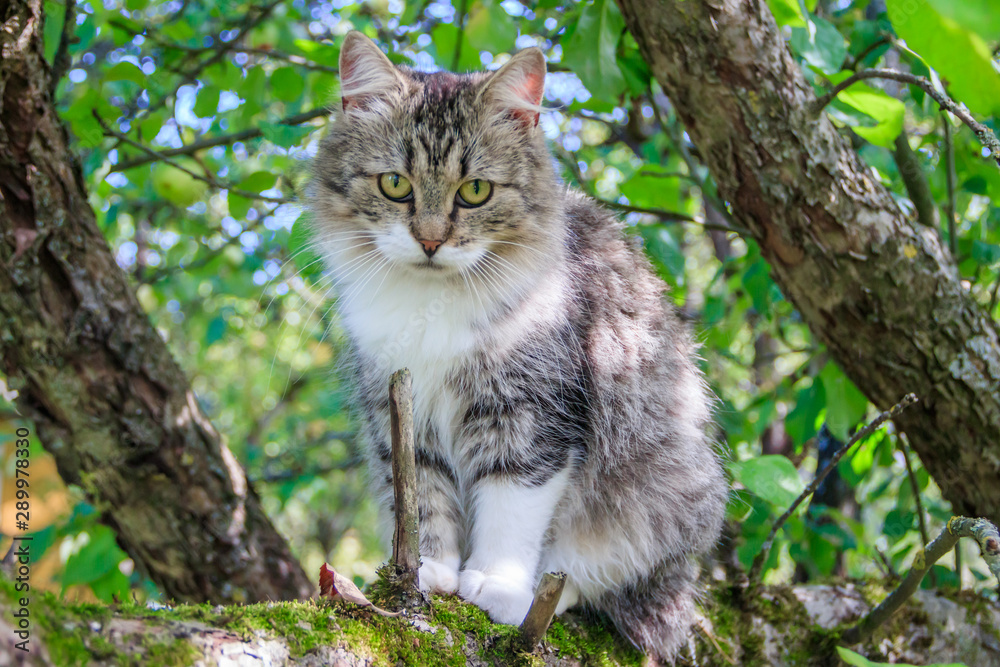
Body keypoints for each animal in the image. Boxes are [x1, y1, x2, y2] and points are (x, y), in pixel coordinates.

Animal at [306, 32, 728, 664]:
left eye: (475, 191)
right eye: (395, 185)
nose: (430, 240)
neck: (433, 302)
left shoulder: (531, 413)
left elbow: (511, 507)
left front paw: (496, 586)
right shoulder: (401, 412)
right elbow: (424, 502)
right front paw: (429, 573)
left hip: (666, 502)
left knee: (602, 579)